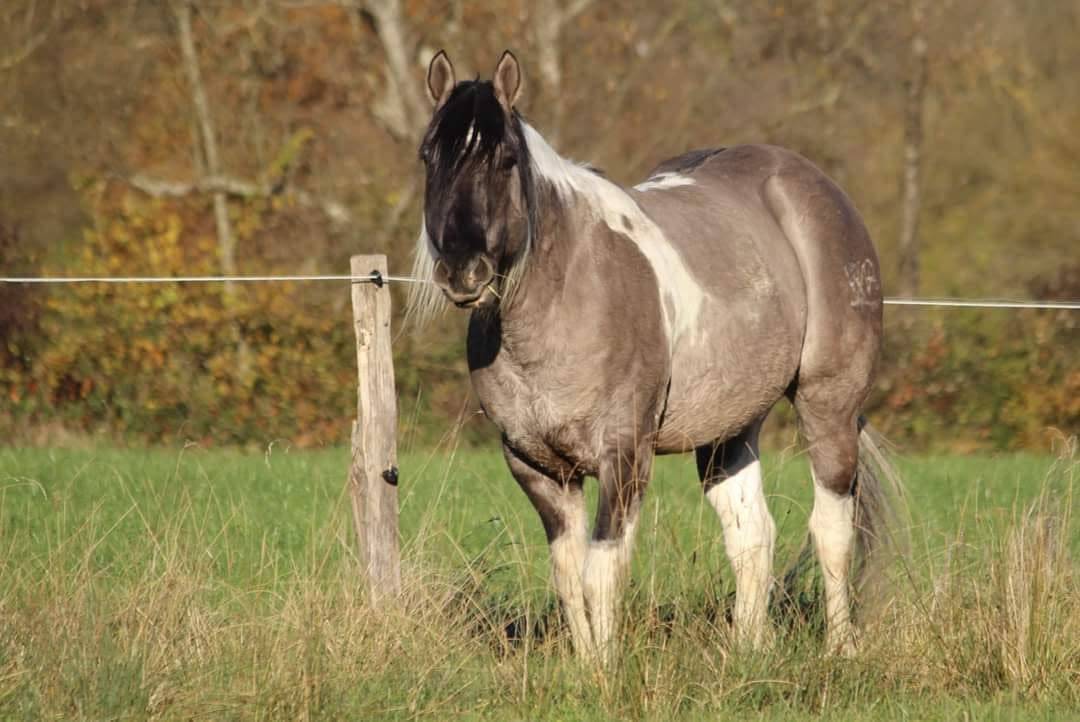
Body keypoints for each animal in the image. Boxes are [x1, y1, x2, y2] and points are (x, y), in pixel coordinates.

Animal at [409, 49, 896, 660]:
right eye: (429, 156)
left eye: (505, 159)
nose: (461, 271)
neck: (565, 297)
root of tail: (812, 184)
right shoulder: (537, 466)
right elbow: (567, 574)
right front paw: (584, 664)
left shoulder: (623, 458)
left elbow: (601, 571)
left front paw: (604, 668)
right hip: (729, 430)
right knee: (751, 535)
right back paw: (748, 651)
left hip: (826, 407)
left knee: (831, 529)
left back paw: (841, 649)